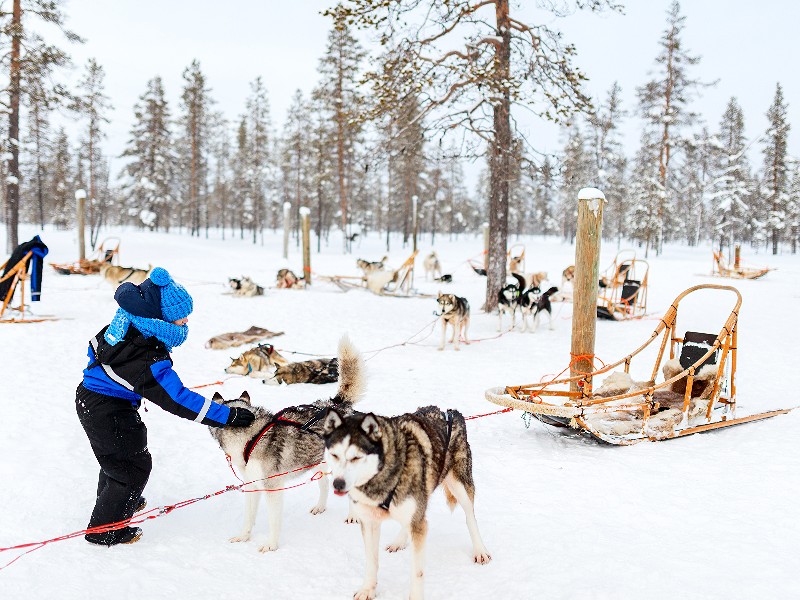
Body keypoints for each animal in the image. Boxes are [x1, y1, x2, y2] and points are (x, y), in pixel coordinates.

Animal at [209, 336, 366, 552]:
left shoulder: (273, 488)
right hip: (318, 461)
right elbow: (248, 518)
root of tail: (337, 404)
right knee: (325, 484)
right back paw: (320, 506)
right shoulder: (252, 486)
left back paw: (353, 515)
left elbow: (273, 521)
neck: (252, 437)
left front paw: (271, 545)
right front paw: (243, 537)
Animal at [322, 406, 490, 596]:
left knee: (470, 517)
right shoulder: (369, 521)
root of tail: (451, 412)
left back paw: (480, 550)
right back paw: (399, 541)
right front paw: (367, 590)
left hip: (459, 486)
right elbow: (371, 562)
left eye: (356, 457)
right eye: (334, 455)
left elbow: (417, 572)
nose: (338, 483)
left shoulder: (418, 525)